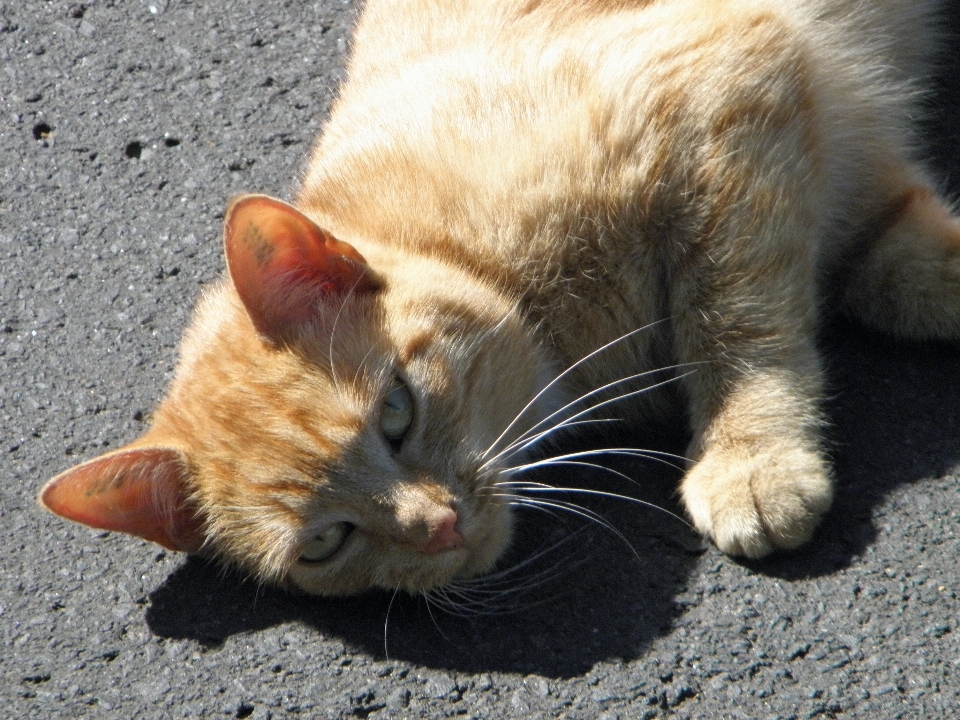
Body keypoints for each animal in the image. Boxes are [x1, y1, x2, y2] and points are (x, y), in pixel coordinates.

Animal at [41, 0, 960, 596]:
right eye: (325, 543)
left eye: (397, 413)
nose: (439, 525)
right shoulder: (835, 179)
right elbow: (898, 271)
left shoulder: (724, 95)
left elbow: (734, 321)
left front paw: (750, 456)